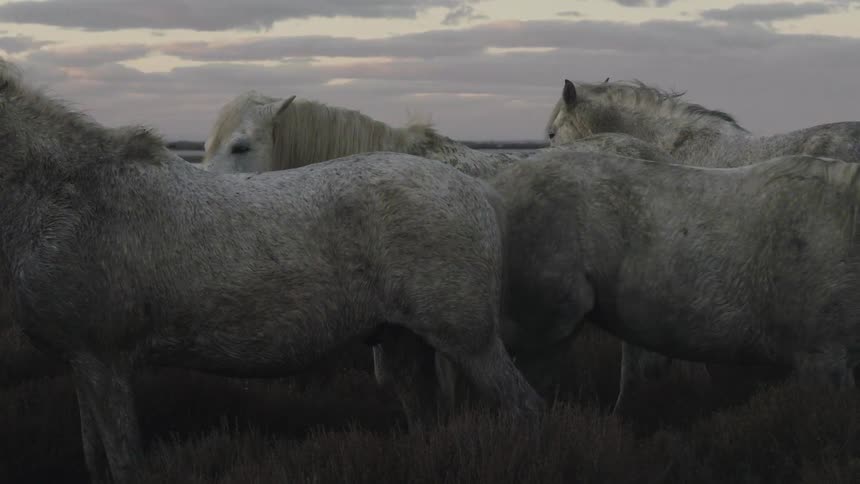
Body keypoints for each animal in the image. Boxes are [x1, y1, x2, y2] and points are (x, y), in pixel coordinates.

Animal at [0, 60, 543, 484]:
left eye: (241, 147)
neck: (70, 197)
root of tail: (477, 189)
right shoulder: (83, 363)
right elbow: (97, 461)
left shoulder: (105, 362)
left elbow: (125, 463)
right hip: (403, 342)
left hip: (471, 344)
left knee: (526, 409)